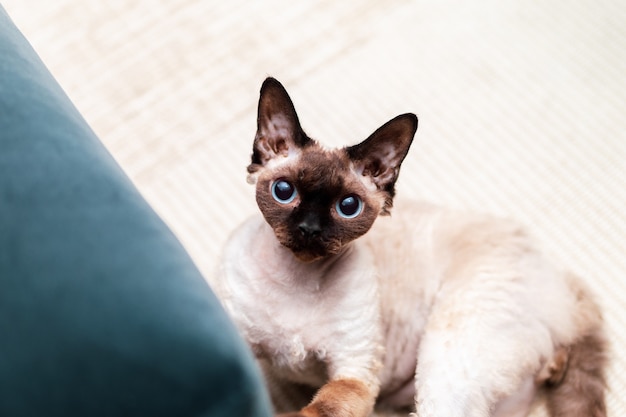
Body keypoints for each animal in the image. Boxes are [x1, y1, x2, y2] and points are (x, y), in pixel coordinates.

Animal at [212, 76, 604, 414]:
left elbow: (317, 410)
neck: (296, 278)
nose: (309, 229)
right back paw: (553, 368)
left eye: (348, 206)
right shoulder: (237, 344)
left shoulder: (354, 370)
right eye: (284, 191)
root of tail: (560, 274)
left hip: (449, 354)